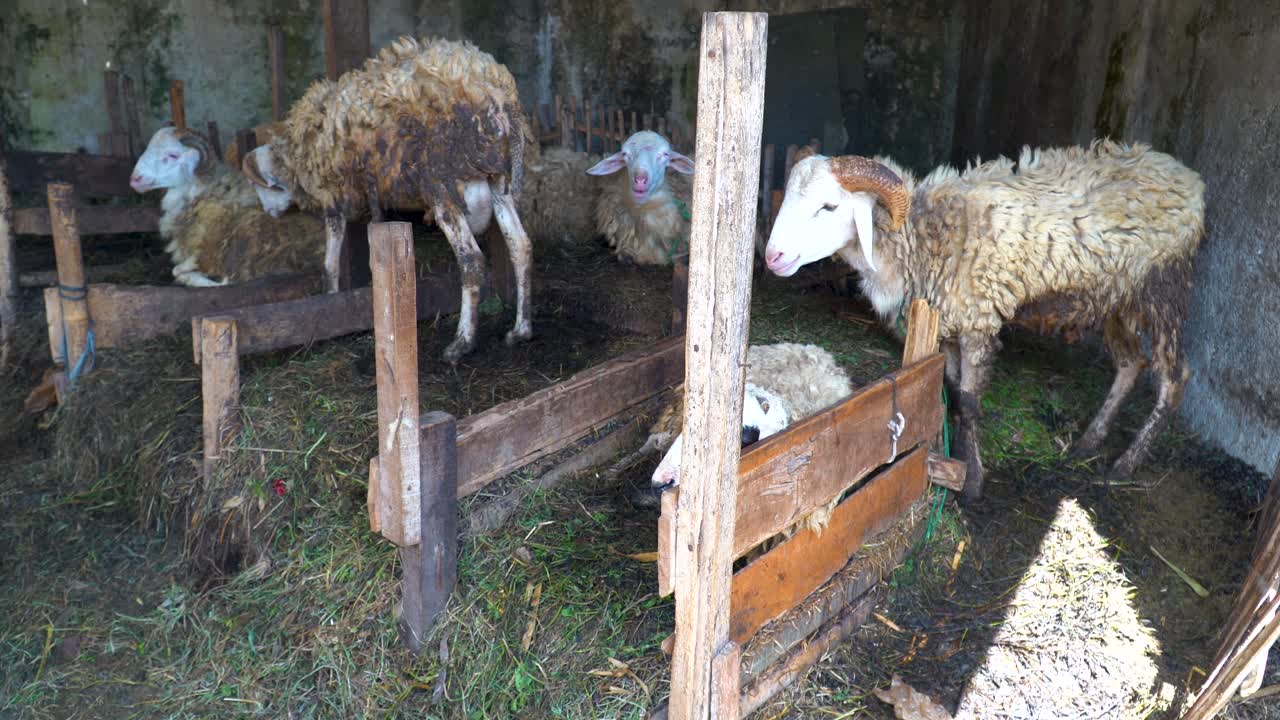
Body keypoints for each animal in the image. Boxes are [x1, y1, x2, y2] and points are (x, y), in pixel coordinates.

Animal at [240, 37, 534, 364]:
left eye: (262, 187)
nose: (268, 212)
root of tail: (493, 91)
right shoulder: (373, 193)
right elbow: (374, 235)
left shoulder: (334, 197)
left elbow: (329, 262)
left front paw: (329, 301)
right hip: (499, 178)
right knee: (520, 245)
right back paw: (520, 330)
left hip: (442, 183)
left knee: (471, 259)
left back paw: (461, 342)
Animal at [763, 140, 1205, 500]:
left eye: (829, 206)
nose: (773, 257)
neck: (923, 236)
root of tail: (1187, 175)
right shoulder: (944, 326)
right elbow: (953, 392)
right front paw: (952, 460)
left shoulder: (977, 321)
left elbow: (971, 401)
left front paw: (972, 480)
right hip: (1116, 299)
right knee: (1131, 364)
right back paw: (1088, 441)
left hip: (1163, 289)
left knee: (1174, 378)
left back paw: (1125, 464)